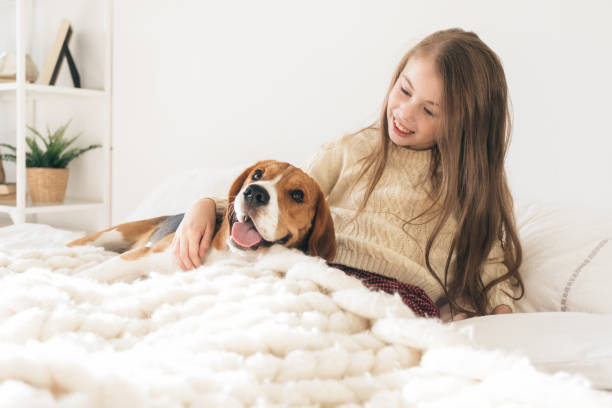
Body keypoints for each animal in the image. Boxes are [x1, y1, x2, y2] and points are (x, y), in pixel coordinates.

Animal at [69, 161, 338, 282]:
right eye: (257, 174)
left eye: (298, 195)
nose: (254, 192)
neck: (227, 254)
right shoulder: (143, 256)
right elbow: (92, 274)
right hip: (106, 236)